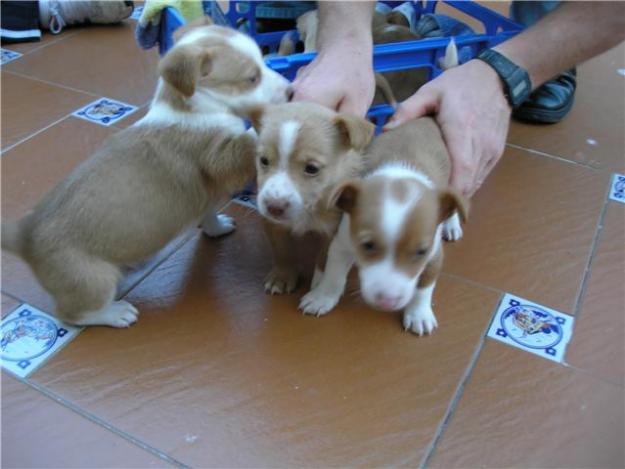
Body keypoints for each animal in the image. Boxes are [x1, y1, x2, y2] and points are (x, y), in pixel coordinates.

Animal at [1, 17, 292, 326]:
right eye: (252, 78)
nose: (290, 90)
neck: (197, 105)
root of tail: (25, 234)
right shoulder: (221, 157)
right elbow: (247, 140)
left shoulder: (205, 195)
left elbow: (208, 213)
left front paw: (217, 227)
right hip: (93, 279)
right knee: (73, 314)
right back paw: (116, 313)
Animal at [249, 102, 376, 294]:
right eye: (263, 160)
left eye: (312, 168)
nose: (274, 207)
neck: (309, 209)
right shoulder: (272, 224)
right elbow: (282, 250)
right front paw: (282, 275)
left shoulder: (333, 228)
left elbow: (325, 256)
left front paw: (320, 282)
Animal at [298, 38, 468, 334]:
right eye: (367, 246)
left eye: (420, 252)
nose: (387, 301)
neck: (400, 171)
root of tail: (429, 117)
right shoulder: (342, 242)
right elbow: (333, 275)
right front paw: (323, 298)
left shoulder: (434, 257)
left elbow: (424, 288)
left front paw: (419, 313)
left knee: (453, 202)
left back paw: (451, 224)